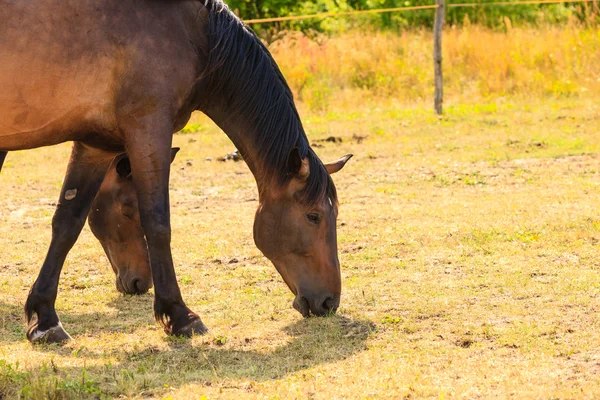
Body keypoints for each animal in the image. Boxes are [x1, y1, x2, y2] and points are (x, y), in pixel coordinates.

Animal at [1, 0, 352, 344]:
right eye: (313, 216)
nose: (328, 302)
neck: (197, 35)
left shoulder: (94, 145)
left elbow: (67, 223)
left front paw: (45, 319)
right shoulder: (149, 130)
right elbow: (159, 224)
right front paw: (180, 315)